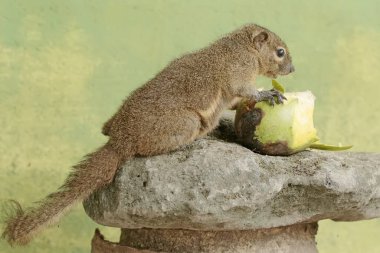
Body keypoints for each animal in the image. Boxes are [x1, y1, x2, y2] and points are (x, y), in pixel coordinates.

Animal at [1, 23, 294, 245]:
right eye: (280, 52)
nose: (292, 69)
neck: (241, 47)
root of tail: (120, 140)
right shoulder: (237, 73)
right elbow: (244, 91)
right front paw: (268, 94)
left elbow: (236, 102)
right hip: (185, 123)